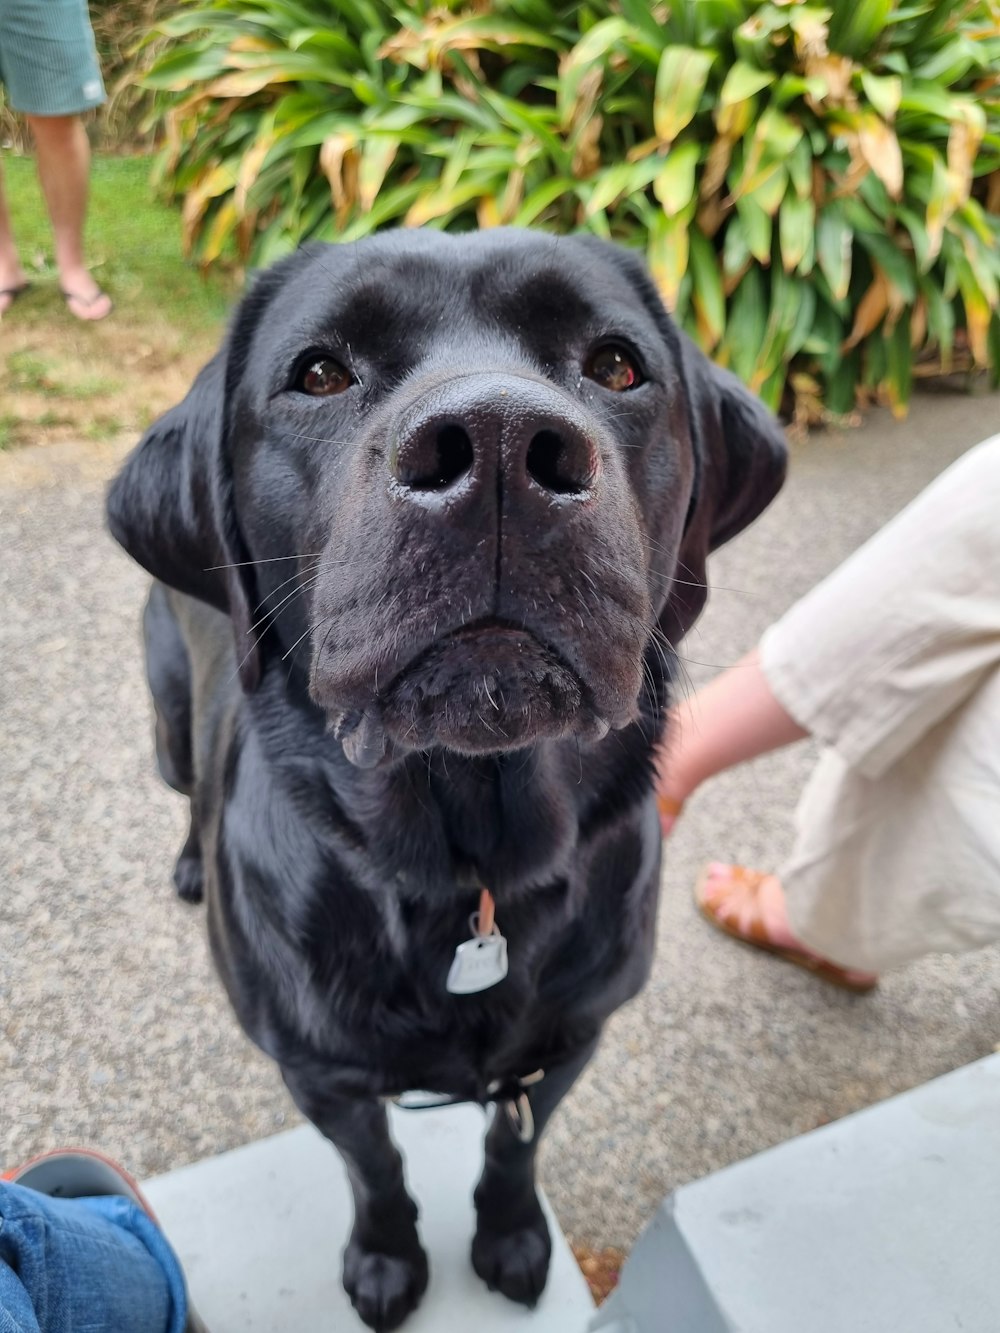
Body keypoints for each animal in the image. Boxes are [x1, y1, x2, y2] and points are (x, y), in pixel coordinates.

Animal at [106, 226, 789, 1322]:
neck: (468, 873)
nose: (502, 445)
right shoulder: (323, 1074)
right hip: (169, 712)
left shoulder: (568, 1041)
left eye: (616, 364)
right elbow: (375, 1166)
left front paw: (509, 1236)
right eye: (319, 373)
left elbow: (513, 1152)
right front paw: (387, 1256)